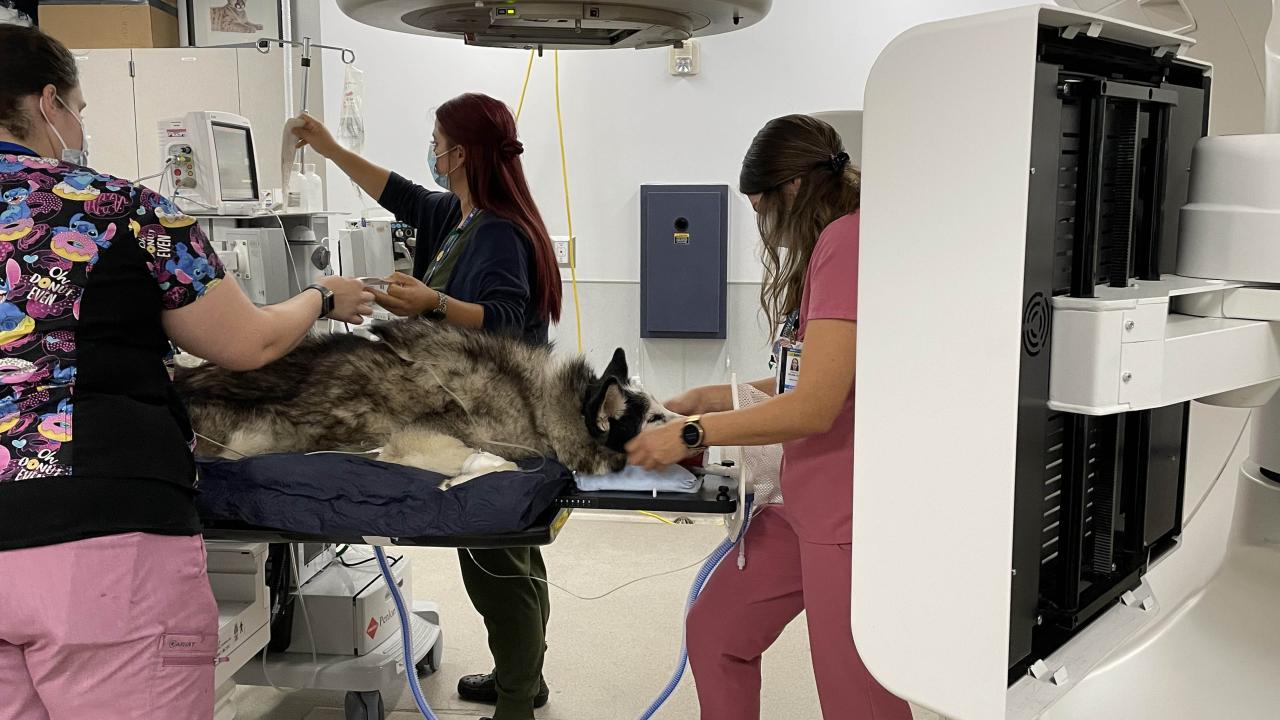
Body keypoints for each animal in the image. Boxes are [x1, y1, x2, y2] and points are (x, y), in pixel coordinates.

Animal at [175, 317, 675, 476]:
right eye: (655, 419)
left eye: (665, 407)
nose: (690, 430)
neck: (541, 404)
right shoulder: (417, 438)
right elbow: (492, 462)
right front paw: (476, 469)